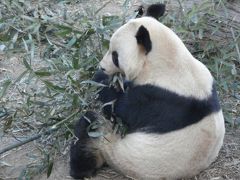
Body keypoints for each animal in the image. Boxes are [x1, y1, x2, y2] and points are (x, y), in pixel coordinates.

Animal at [69, 3, 225, 179]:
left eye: (115, 56)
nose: (102, 66)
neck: (169, 61)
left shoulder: (157, 97)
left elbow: (119, 107)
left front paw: (101, 79)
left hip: (113, 147)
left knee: (89, 129)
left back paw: (80, 169)